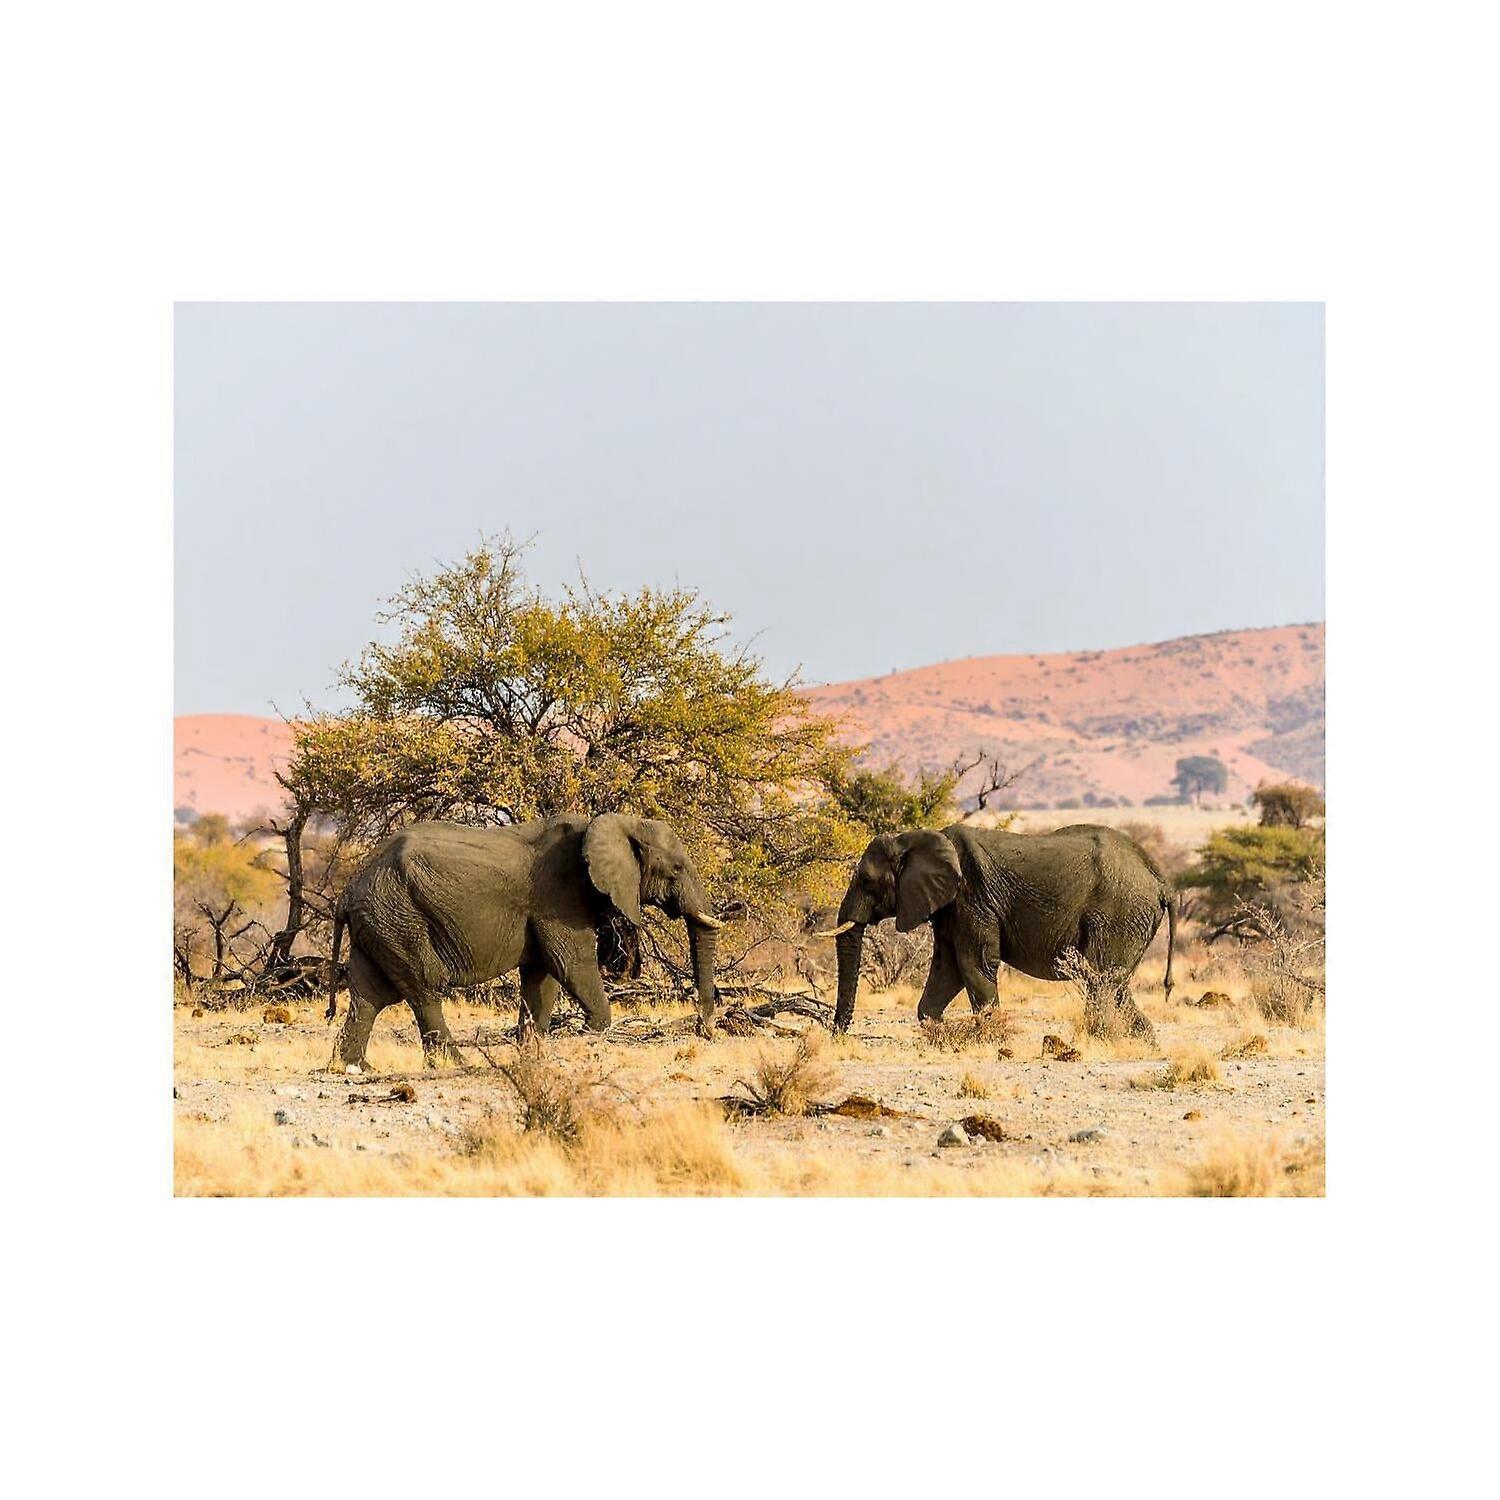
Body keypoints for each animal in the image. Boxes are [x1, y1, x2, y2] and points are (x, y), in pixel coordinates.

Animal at [325, 813, 723, 1071]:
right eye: (675, 870)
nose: (705, 1029)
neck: (618, 822)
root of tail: (347, 893)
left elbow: (542, 977)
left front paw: (531, 1049)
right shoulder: (558, 898)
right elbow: (572, 964)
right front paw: (592, 1031)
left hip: (380, 923)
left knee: (370, 995)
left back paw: (355, 1067)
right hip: (399, 917)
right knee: (424, 988)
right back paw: (456, 1064)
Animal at [818, 823, 1176, 1042]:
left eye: (867, 881)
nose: (836, 1034)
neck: (917, 839)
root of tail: (1161, 882)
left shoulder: (973, 897)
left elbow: (973, 965)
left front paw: (991, 1038)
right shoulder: (951, 907)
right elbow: (948, 969)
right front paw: (937, 1031)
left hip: (1118, 913)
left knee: (1100, 981)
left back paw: (1101, 1037)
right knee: (1115, 985)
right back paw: (1144, 1043)